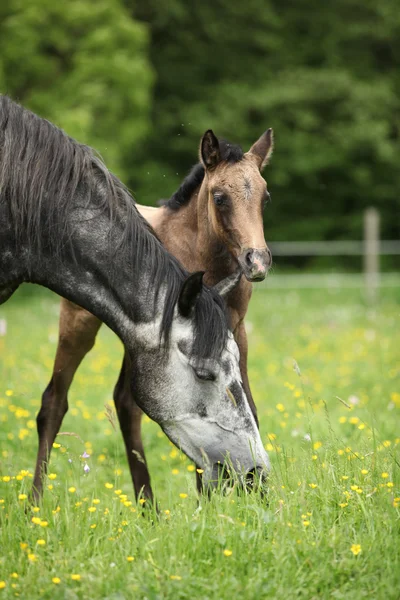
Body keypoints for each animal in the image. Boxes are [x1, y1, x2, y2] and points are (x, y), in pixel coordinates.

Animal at [0, 97, 270, 502]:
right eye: (219, 197)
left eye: (265, 197)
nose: (257, 262)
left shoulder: (236, 331)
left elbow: (249, 403)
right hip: (80, 325)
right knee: (56, 402)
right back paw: (37, 503)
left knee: (125, 405)